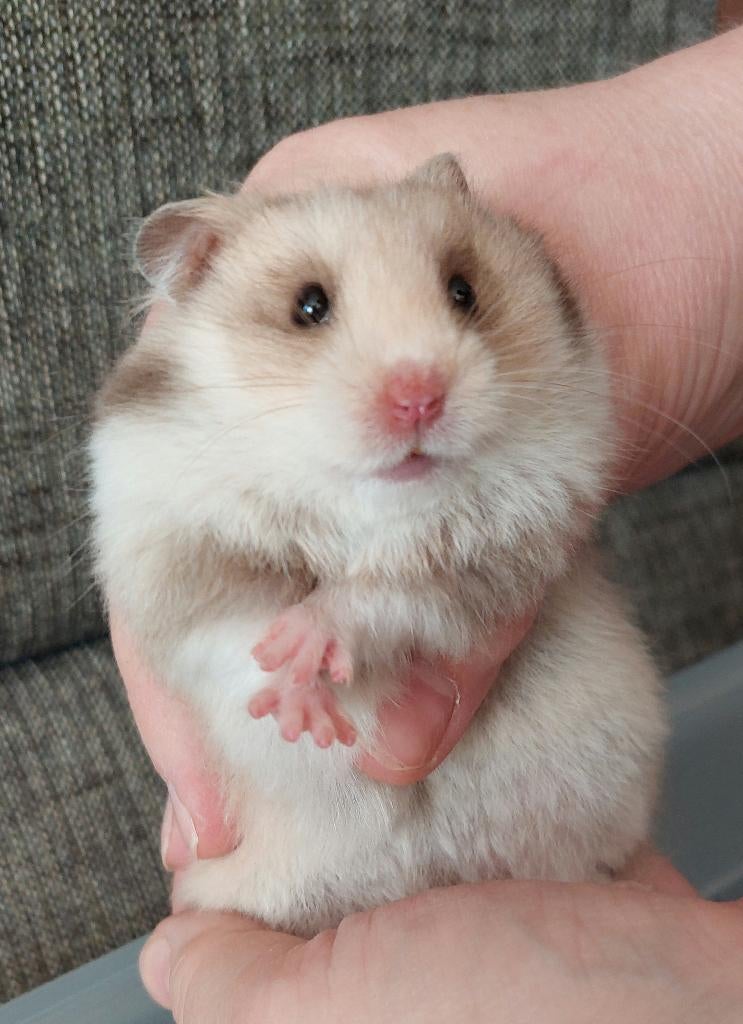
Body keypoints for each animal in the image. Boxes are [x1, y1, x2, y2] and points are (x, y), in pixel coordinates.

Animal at [90, 155, 666, 935]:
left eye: (463, 290)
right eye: (308, 307)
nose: (418, 397)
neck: (366, 511)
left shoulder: (493, 557)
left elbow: (379, 598)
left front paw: (306, 664)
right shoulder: (173, 551)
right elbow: (238, 625)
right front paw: (302, 711)